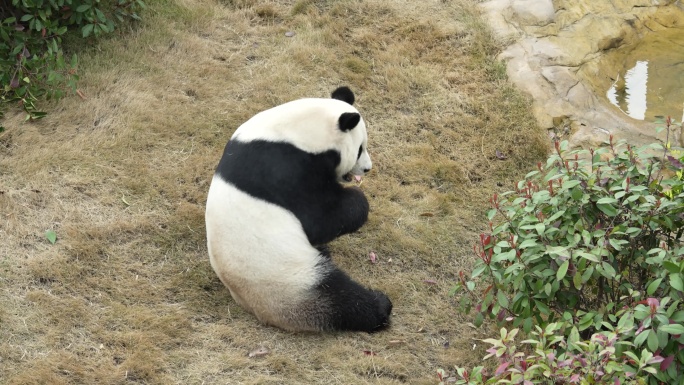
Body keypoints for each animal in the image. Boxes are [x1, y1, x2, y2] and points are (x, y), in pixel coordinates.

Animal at [206, 86, 392, 330]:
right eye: (360, 149)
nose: (367, 169)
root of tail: (258, 308)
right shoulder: (285, 169)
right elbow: (319, 220)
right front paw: (356, 201)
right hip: (290, 277)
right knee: (337, 296)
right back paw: (379, 307)